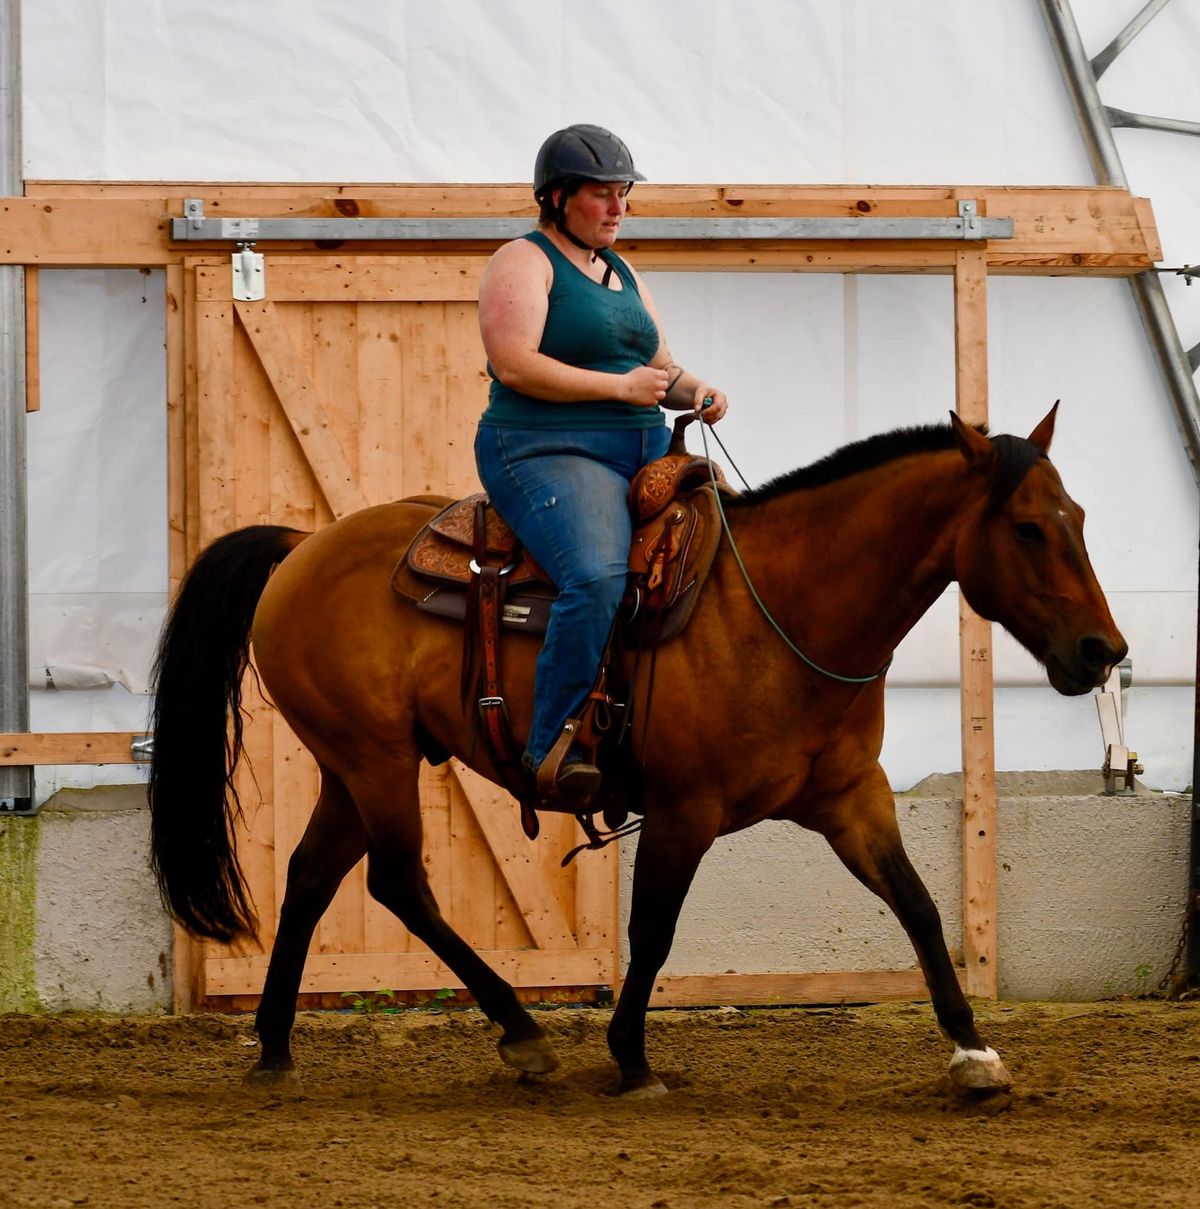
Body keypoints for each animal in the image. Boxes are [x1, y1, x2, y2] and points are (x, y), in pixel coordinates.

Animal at [147, 406, 1121, 1097]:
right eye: (1028, 527)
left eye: (1077, 514)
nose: (1102, 651)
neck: (786, 606)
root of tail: (302, 546)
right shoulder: (687, 810)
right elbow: (652, 929)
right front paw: (631, 1056)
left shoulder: (853, 799)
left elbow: (918, 906)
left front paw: (974, 1050)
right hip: (375, 759)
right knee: (398, 884)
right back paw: (520, 1032)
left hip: (354, 766)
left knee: (313, 876)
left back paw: (275, 1046)